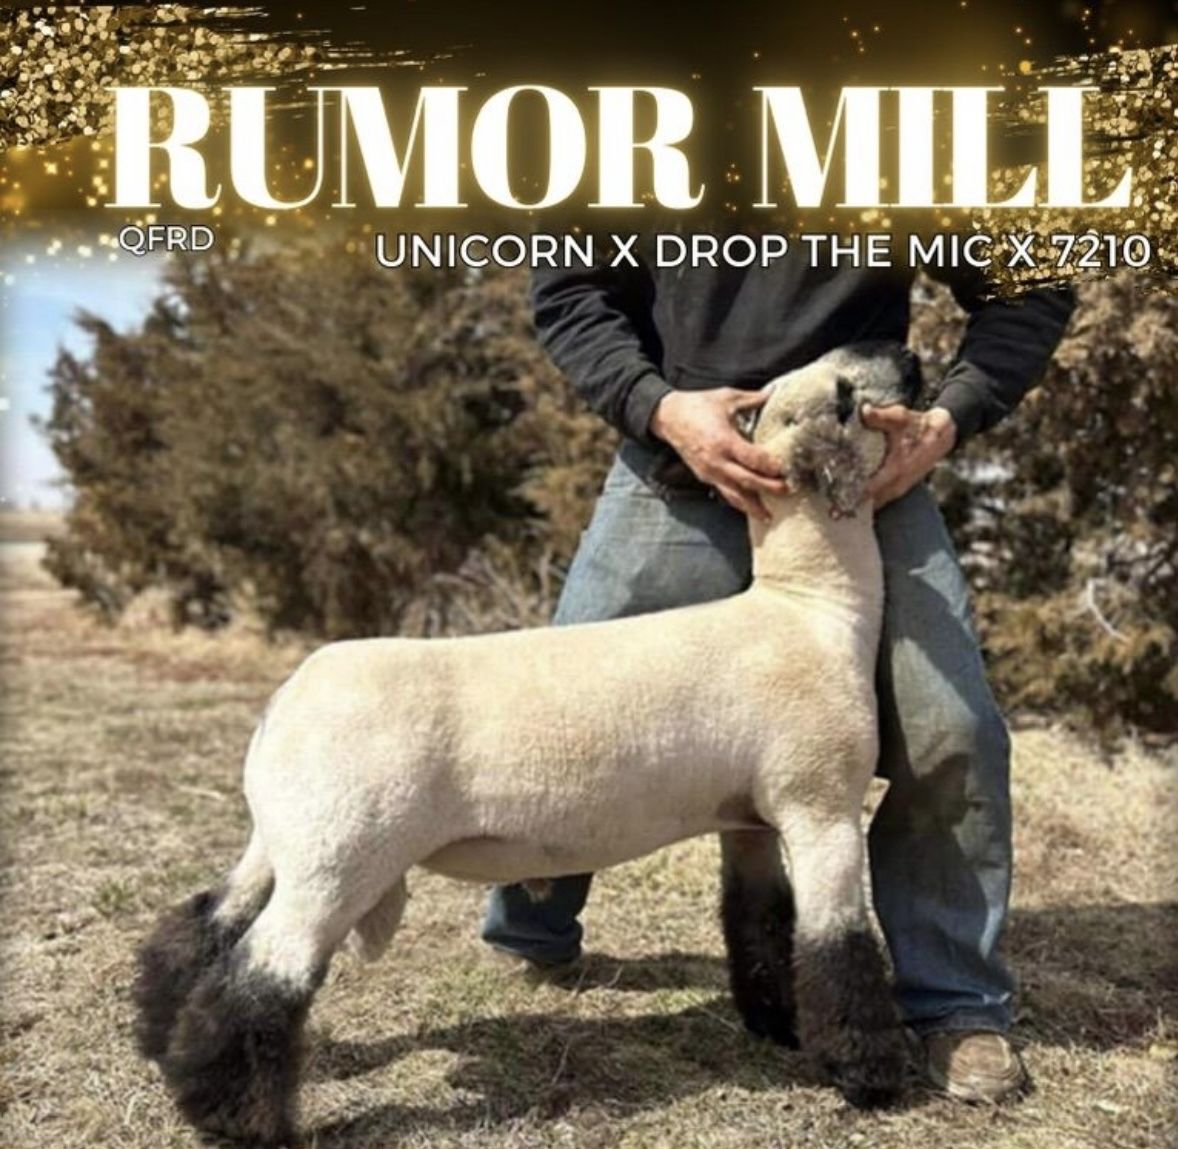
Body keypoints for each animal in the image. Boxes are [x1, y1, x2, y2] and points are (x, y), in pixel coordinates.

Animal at [133, 342, 920, 1145]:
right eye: (845, 396)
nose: (907, 355)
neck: (809, 607)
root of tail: (284, 702)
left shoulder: (750, 820)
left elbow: (760, 925)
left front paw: (777, 1027)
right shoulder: (821, 805)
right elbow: (839, 947)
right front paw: (868, 1077)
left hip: (286, 838)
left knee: (205, 923)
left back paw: (160, 1040)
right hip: (340, 856)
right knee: (260, 981)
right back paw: (238, 1118)